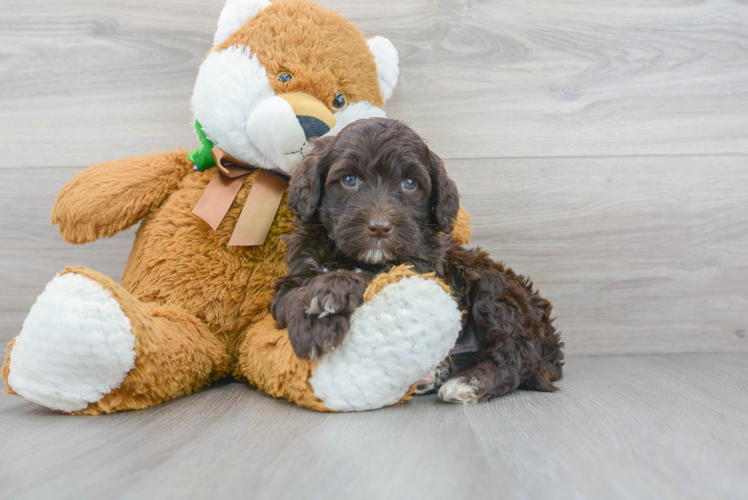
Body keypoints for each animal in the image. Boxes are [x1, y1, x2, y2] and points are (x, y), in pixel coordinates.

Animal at [272, 117, 564, 402]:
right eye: (350, 179)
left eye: (410, 184)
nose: (380, 228)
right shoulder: (297, 271)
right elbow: (291, 296)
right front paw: (314, 323)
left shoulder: (418, 266)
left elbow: (372, 275)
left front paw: (329, 295)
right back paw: (434, 373)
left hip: (494, 289)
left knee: (516, 353)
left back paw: (468, 384)